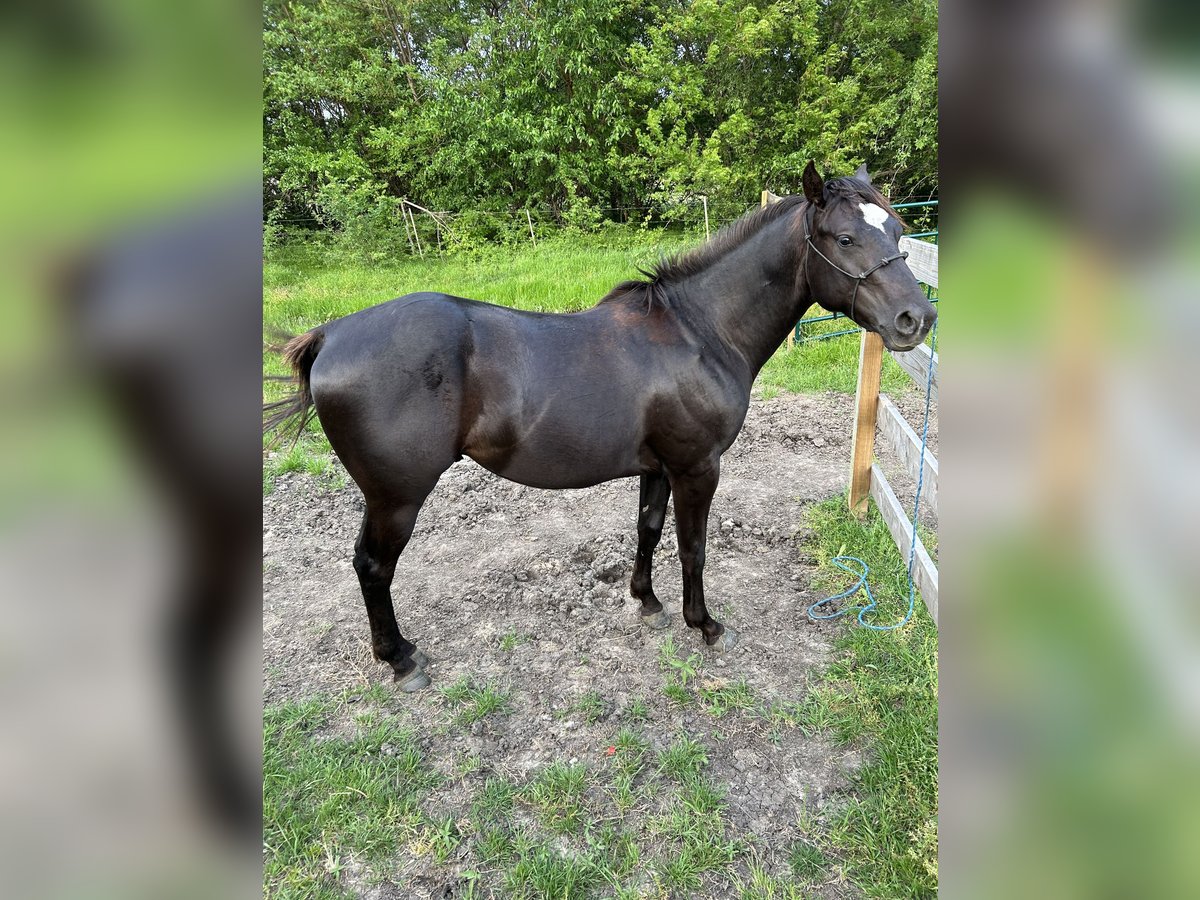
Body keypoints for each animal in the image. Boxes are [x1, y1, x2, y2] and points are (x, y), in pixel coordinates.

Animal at [265, 164, 936, 691]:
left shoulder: (659, 466)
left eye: (899, 232)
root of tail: (331, 335)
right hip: (396, 498)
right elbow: (692, 547)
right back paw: (400, 660)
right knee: (373, 568)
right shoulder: (698, 467)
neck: (698, 332)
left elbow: (648, 530)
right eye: (844, 237)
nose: (917, 318)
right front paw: (704, 624)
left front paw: (647, 601)